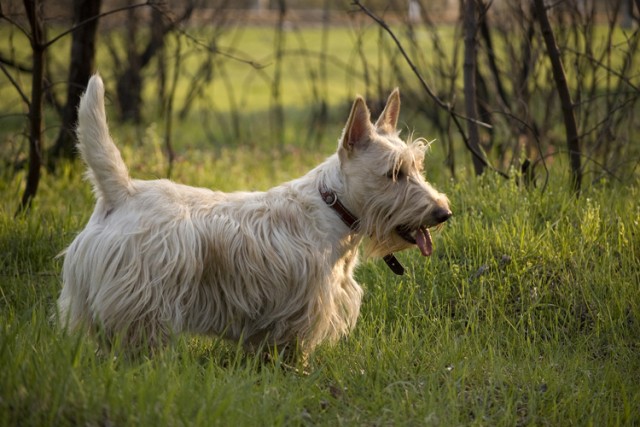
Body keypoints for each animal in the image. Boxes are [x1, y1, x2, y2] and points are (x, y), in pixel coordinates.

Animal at [57, 75, 452, 360]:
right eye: (393, 173)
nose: (443, 212)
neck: (334, 206)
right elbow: (295, 350)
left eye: (418, 167)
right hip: (143, 297)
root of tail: (123, 192)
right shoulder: (303, 307)